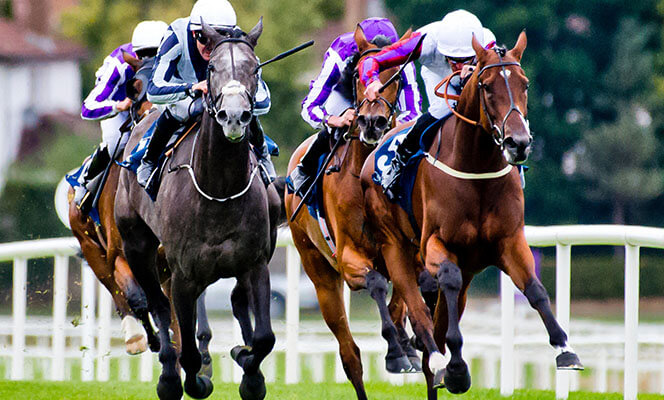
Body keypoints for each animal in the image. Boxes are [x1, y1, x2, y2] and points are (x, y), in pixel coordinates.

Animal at [115, 19, 280, 400]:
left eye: (254, 68)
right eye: (213, 68)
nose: (234, 117)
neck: (219, 189)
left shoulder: (255, 263)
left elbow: (264, 338)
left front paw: (250, 372)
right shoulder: (183, 275)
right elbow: (187, 348)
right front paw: (194, 380)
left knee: (237, 300)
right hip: (137, 245)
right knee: (160, 308)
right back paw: (168, 376)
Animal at [286, 26, 420, 398]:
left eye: (396, 76)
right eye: (360, 77)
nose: (371, 122)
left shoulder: (408, 252)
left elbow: (401, 298)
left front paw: (407, 347)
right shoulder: (349, 260)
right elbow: (376, 284)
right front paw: (396, 350)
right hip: (319, 274)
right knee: (350, 355)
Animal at [360, 32, 584, 398]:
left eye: (525, 83)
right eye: (487, 85)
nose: (518, 142)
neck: (476, 167)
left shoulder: (509, 242)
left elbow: (535, 289)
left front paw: (565, 350)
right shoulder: (435, 244)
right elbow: (445, 283)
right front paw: (454, 365)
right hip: (395, 247)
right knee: (418, 309)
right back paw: (437, 357)